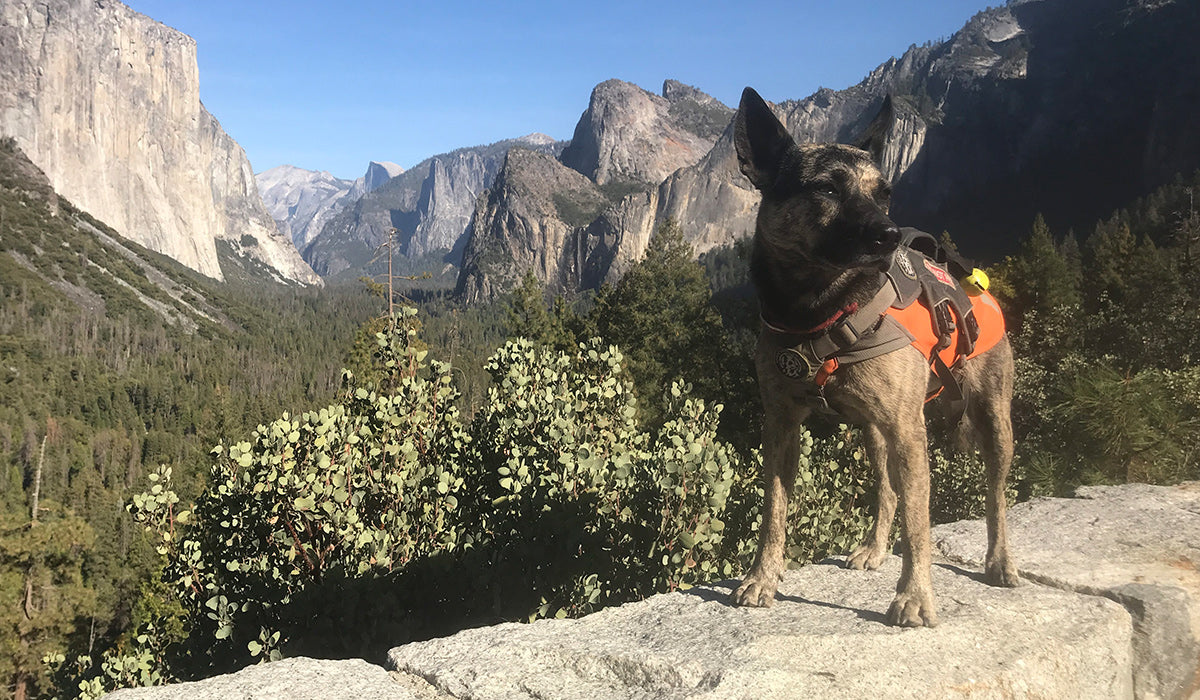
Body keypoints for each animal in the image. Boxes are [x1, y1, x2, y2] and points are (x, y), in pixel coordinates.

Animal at [724, 84, 1017, 629]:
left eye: (884, 193)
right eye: (827, 190)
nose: (887, 234)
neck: (817, 309)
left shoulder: (909, 430)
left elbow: (920, 525)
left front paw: (915, 596)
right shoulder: (781, 424)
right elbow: (774, 510)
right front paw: (762, 577)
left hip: (991, 420)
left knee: (995, 495)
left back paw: (999, 560)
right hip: (874, 433)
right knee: (887, 489)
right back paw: (875, 548)